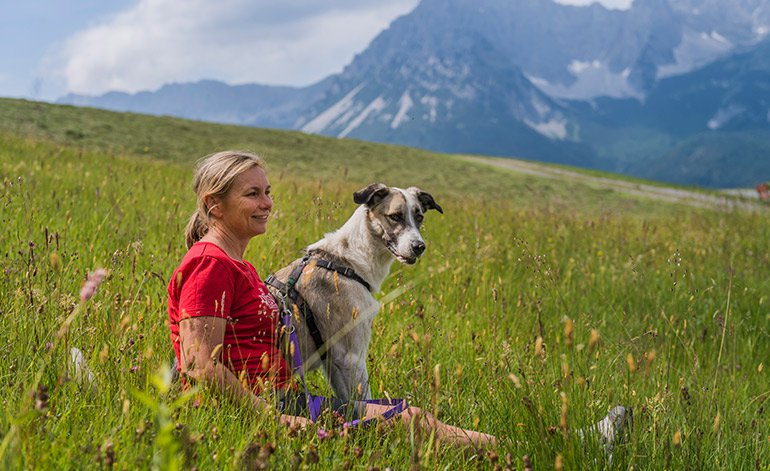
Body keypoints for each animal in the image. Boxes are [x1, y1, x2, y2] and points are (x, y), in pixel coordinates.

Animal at [267, 183, 442, 401]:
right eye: (395, 216)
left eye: (419, 217)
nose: (419, 247)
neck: (347, 262)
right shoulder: (351, 358)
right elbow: (364, 401)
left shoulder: (334, 363)